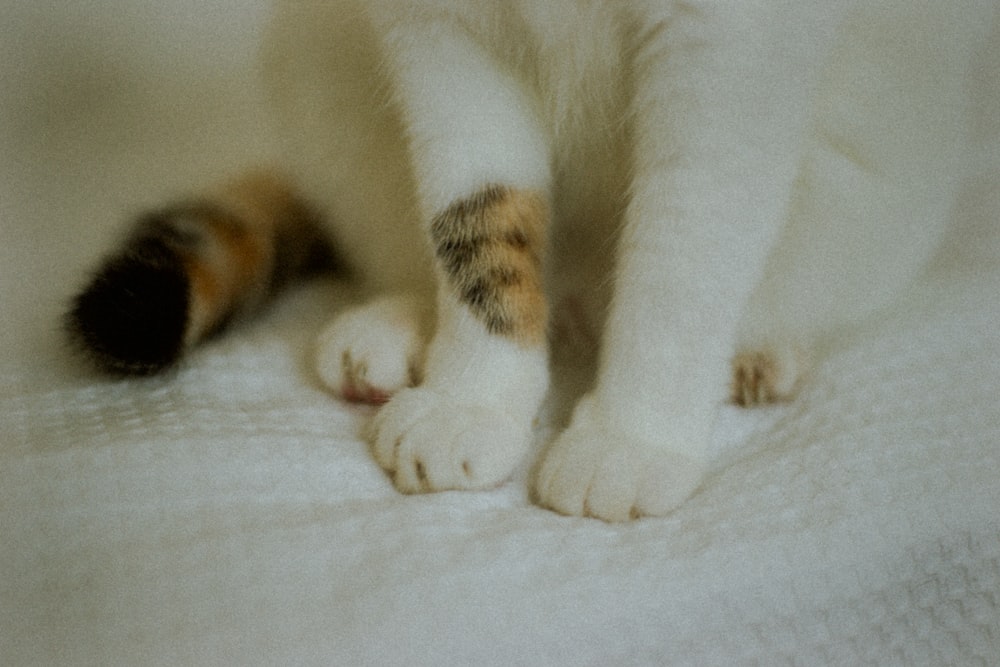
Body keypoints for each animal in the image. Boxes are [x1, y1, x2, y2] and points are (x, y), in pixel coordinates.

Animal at [66, 0, 996, 520]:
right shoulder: (437, 29)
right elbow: (471, 215)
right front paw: (474, 397)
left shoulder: (731, 45)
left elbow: (683, 247)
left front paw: (632, 434)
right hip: (314, 56)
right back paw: (399, 323)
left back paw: (760, 349)